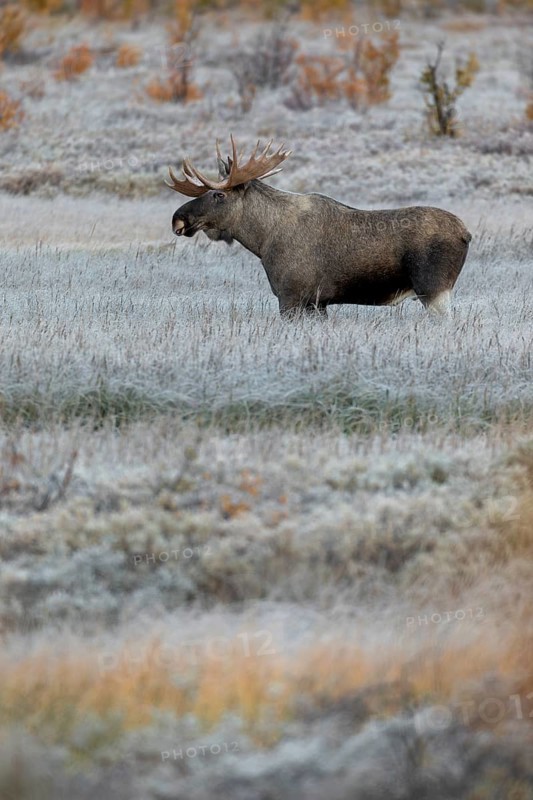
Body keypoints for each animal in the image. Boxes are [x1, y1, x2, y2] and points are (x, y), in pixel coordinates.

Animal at [167, 137, 471, 318]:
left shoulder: (291, 297)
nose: (178, 218)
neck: (262, 240)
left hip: (433, 290)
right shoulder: (318, 303)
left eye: (219, 194)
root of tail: (465, 233)